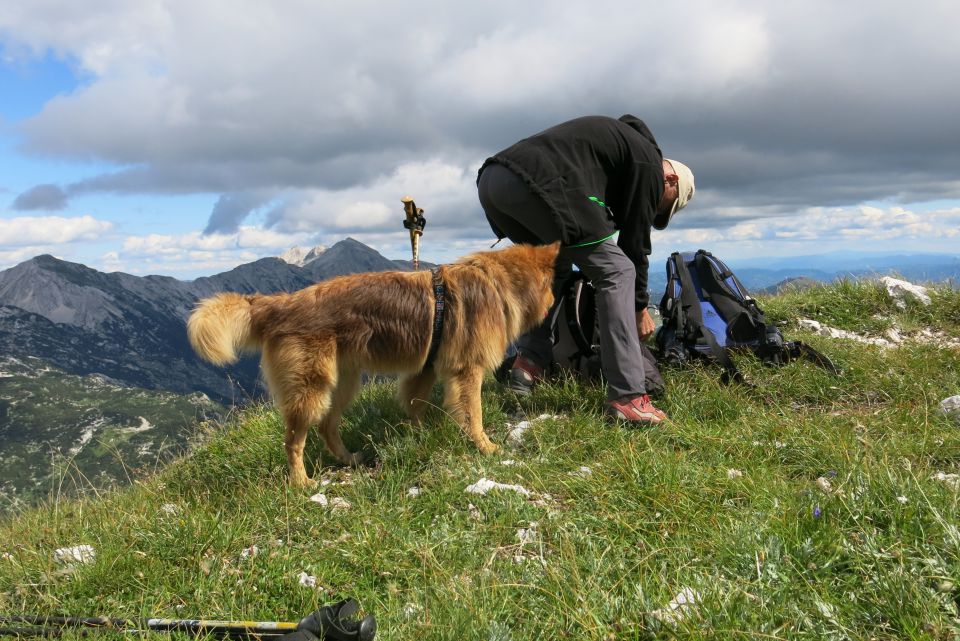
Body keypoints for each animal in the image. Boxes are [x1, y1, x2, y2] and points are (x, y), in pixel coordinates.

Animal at [187, 241, 560, 484]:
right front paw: (485, 446)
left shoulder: (424, 369)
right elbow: (474, 414)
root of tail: (280, 304)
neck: (499, 282)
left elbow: (415, 405)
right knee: (293, 439)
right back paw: (301, 483)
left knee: (326, 426)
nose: (556, 300)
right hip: (312, 387)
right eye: (552, 287)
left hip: (343, 383)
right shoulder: (467, 371)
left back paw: (349, 459)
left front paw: (419, 436)